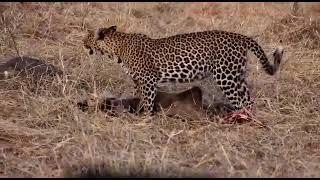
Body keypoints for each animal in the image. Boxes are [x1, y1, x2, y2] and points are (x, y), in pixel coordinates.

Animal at [83, 25, 284, 114]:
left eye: (87, 36)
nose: (82, 42)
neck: (116, 48)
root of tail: (242, 38)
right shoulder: (138, 81)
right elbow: (137, 97)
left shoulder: (147, 80)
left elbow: (147, 101)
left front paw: (145, 118)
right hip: (237, 75)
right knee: (248, 100)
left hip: (226, 76)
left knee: (243, 101)